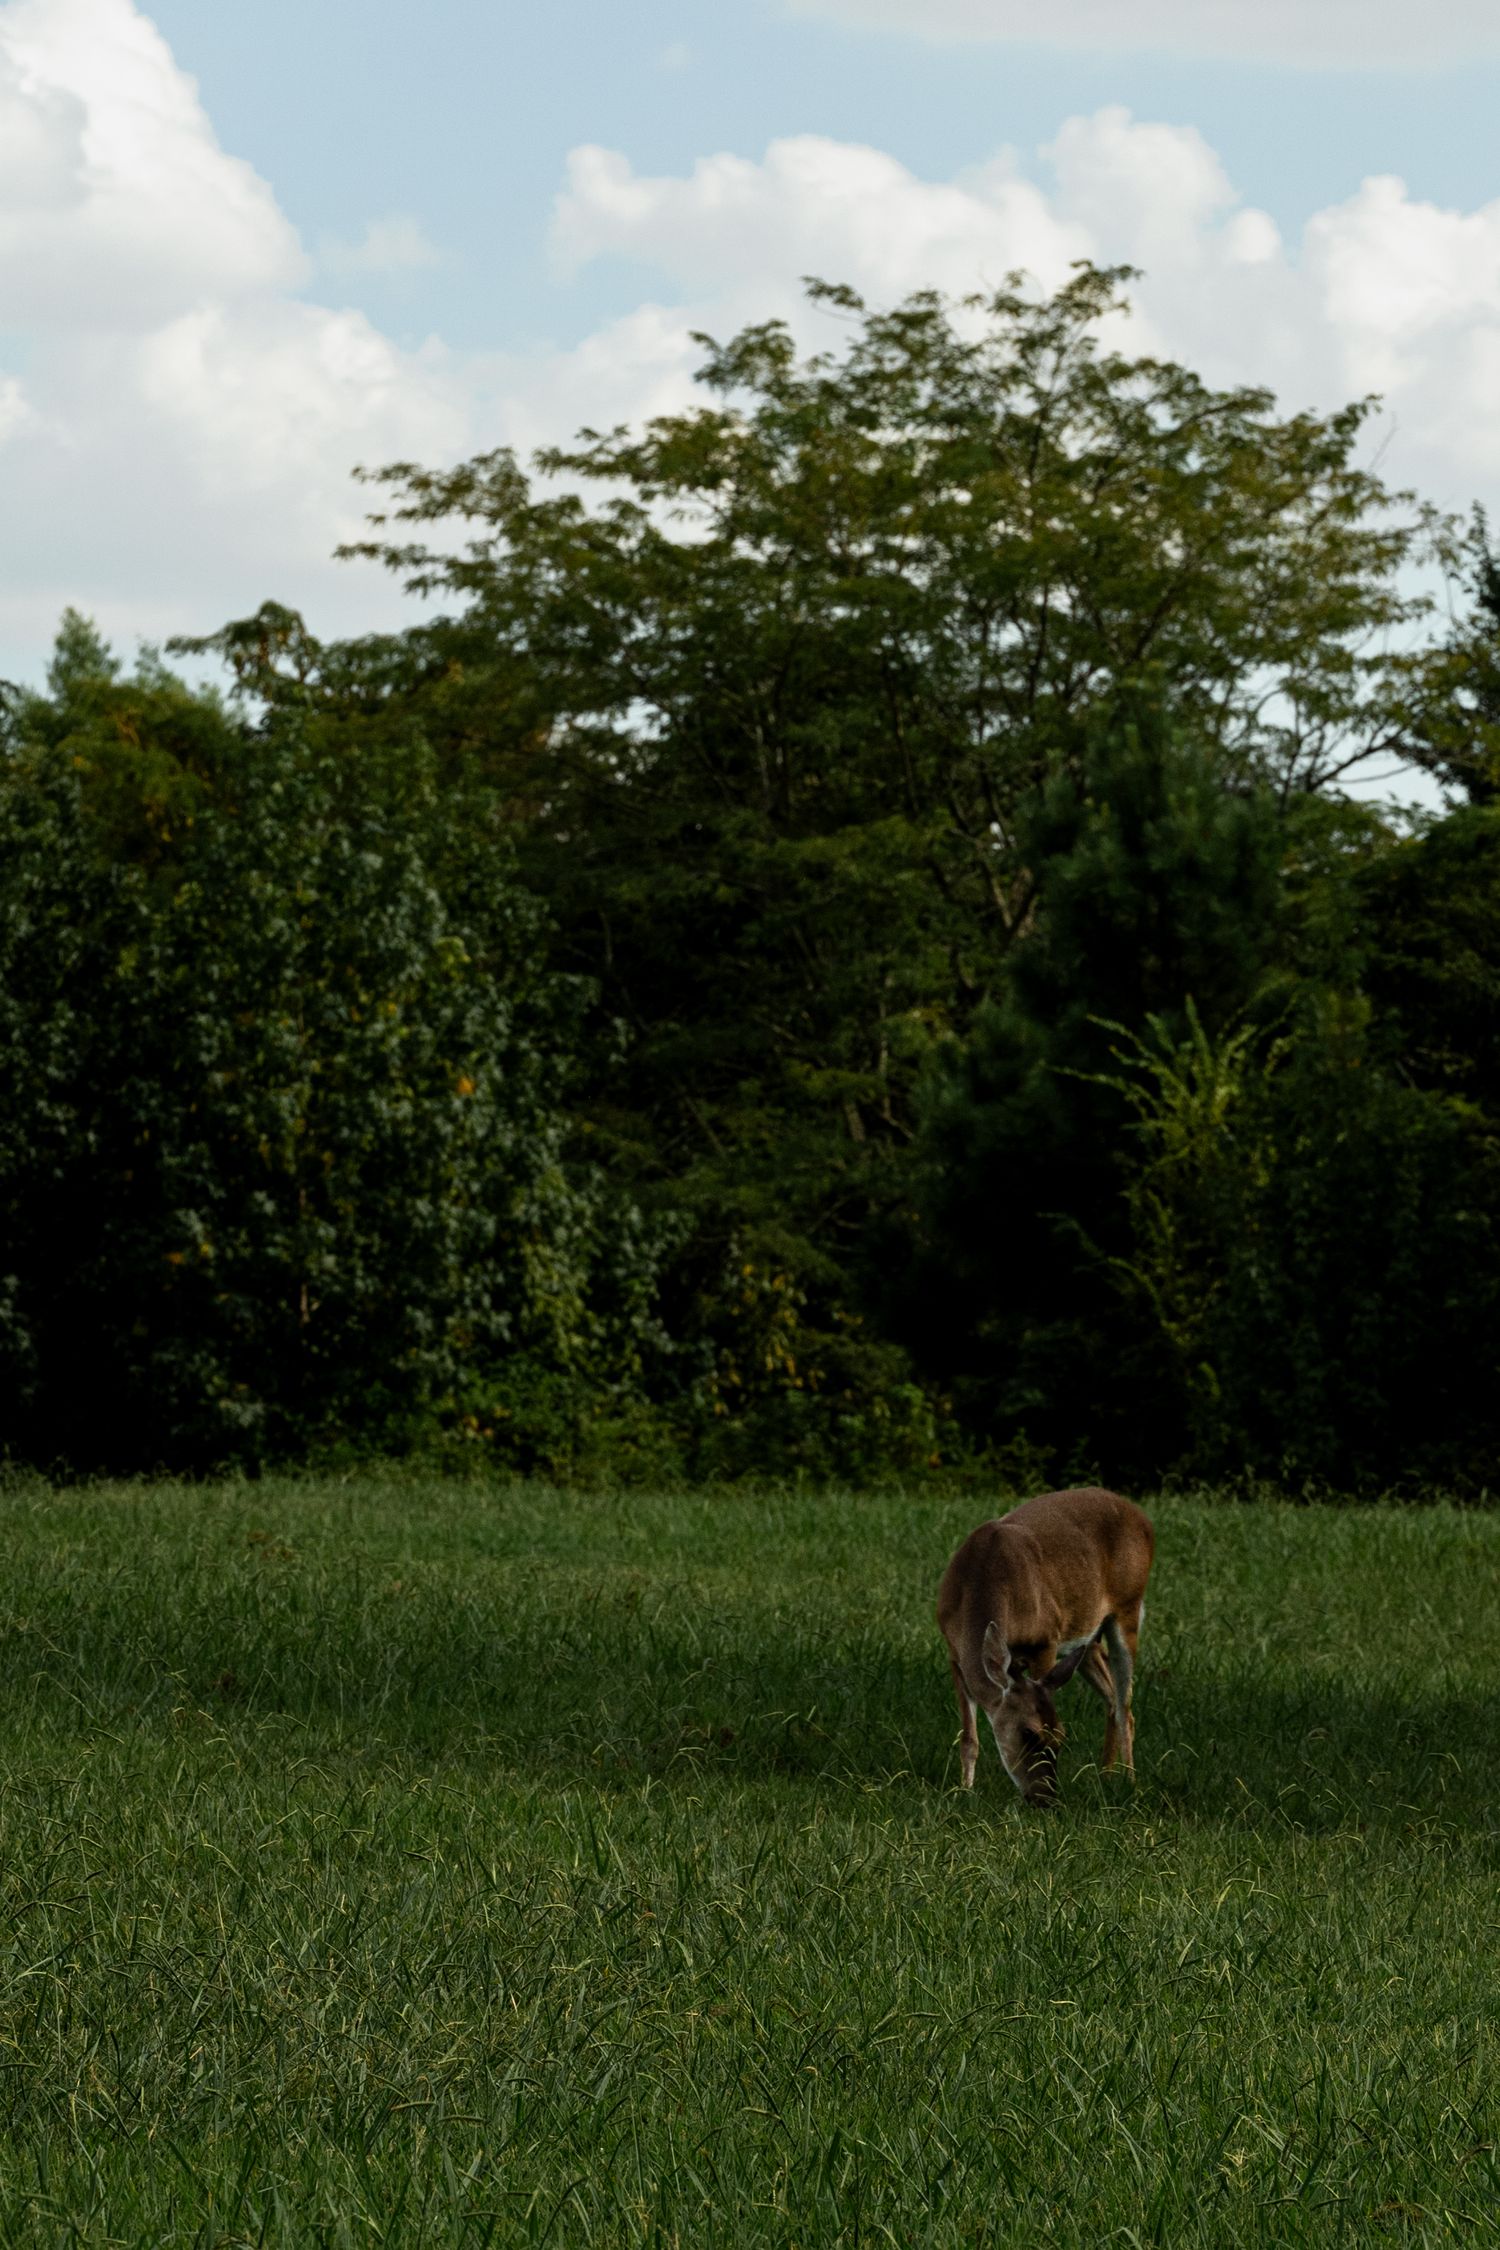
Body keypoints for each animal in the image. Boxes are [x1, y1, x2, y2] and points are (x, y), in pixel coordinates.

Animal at [937, 1487, 1154, 1809]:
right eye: (1028, 1733)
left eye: (1060, 1735)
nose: (1045, 1799)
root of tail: (1143, 1518)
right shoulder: (954, 1653)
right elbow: (968, 1738)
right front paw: (965, 1791)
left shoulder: (1045, 1639)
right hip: (1086, 1637)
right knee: (1113, 1696)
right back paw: (1105, 1776)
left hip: (1129, 1606)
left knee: (1125, 1704)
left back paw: (1130, 1783)